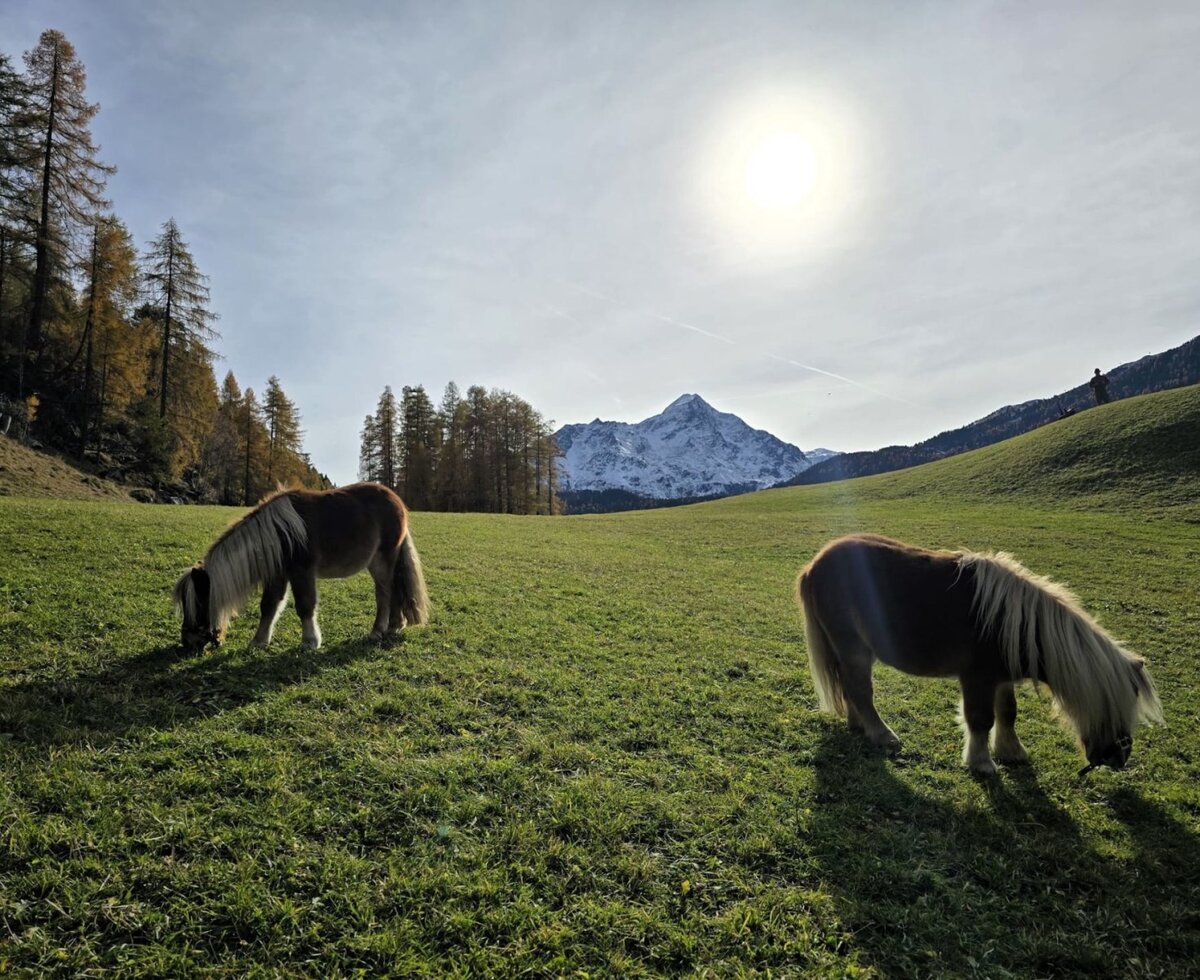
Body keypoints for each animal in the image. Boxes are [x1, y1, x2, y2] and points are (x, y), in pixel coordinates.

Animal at [173, 482, 429, 652]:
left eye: (199, 603)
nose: (188, 641)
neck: (278, 533)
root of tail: (397, 501)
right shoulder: (277, 575)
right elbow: (269, 606)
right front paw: (259, 641)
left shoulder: (301, 573)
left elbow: (305, 606)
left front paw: (310, 641)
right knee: (391, 592)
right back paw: (394, 626)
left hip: (383, 560)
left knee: (386, 593)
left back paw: (379, 630)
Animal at [795, 534, 1162, 775]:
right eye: (1114, 705)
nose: (1117, 758)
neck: (1014, 623)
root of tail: (814, 564)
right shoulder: (977, 678)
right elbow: (980, 719)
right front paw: (982, 762)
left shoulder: (1000, 678)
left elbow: (1008, 713)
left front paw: (1011, 752)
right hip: (853, 648)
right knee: (860, 691)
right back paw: (882, 735)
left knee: (849, 689)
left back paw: (858, 726)